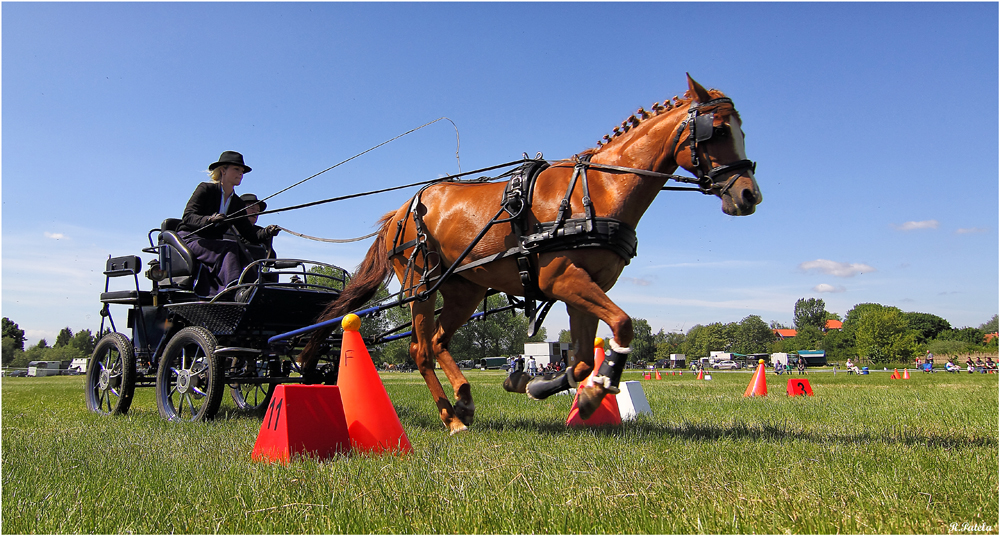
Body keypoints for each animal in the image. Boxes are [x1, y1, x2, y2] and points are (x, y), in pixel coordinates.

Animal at [300, 75, 760, 434]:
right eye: (718, 130)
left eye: (740, 130)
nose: (748, 194)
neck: (599, 192)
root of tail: (398, 211)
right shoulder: (563, 279)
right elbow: (623, 325)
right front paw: (594, 392)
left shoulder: (582, 289)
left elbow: (579, 359)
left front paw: (537, 385)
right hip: (421, 284)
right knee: (420, 350)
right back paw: (450, 417)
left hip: (464, 289)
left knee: (438, 340)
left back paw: (464, 399)